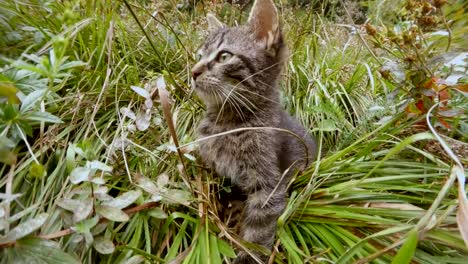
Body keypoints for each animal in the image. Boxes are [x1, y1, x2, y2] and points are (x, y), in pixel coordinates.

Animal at [191, 0, 318, 262]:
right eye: (199, 56)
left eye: (224, 56)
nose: (193, 71)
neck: (227, 122)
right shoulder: (215, 171)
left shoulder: (269, 187)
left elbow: (257, 235)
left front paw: (248, 256)